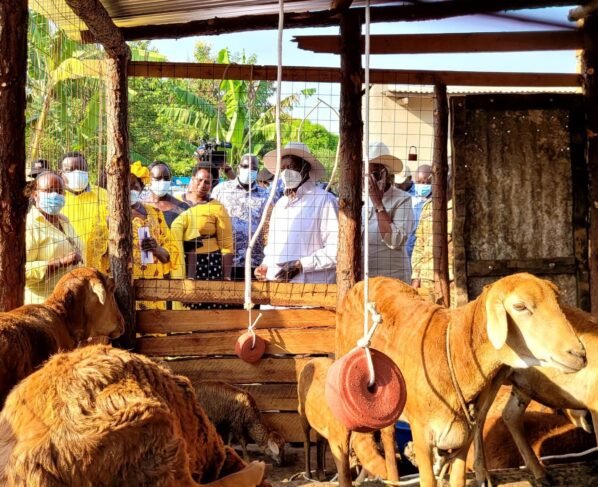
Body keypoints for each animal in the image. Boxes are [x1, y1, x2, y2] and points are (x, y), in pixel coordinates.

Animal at [335, 274, 587, 487]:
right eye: (520, 306)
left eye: (558, 303)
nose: (579, 354)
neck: (453, 352)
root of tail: (364, 282)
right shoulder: (421, 433)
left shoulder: (462, 437)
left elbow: (458, 477)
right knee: (359, 438)